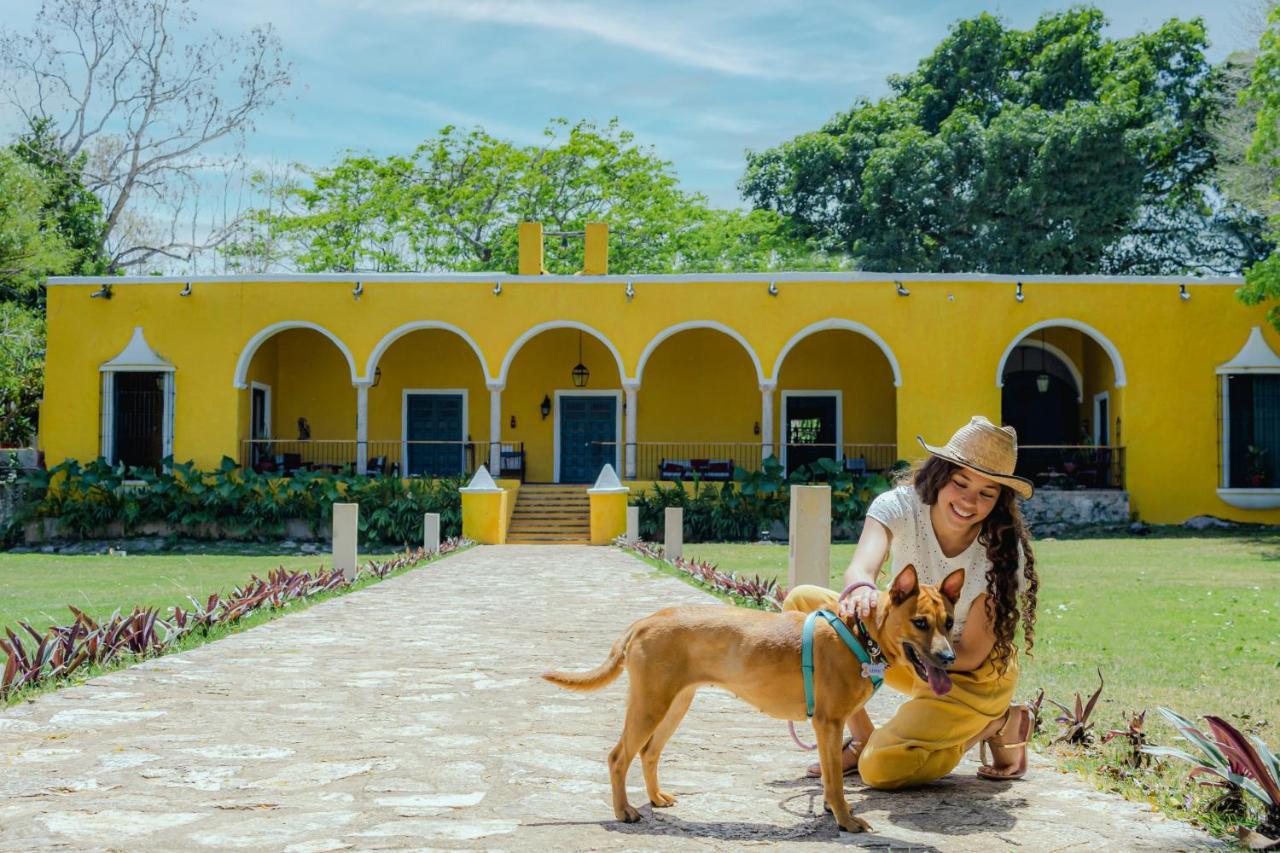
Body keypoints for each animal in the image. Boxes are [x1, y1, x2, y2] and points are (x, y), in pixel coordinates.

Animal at [542, 563, 967, 829]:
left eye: (948, 622)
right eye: (920, 623)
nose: (950, 658)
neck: (860, 633)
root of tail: (645, 621)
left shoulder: (831, 727)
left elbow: (830, 777)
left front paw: (832, 812)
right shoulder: (828, 723)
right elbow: (834, 780)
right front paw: (845, 820)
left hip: (674, 706)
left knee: (648, 753)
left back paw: (656, 797)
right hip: (651, 706)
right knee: (618, 757)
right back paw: (624, 811)